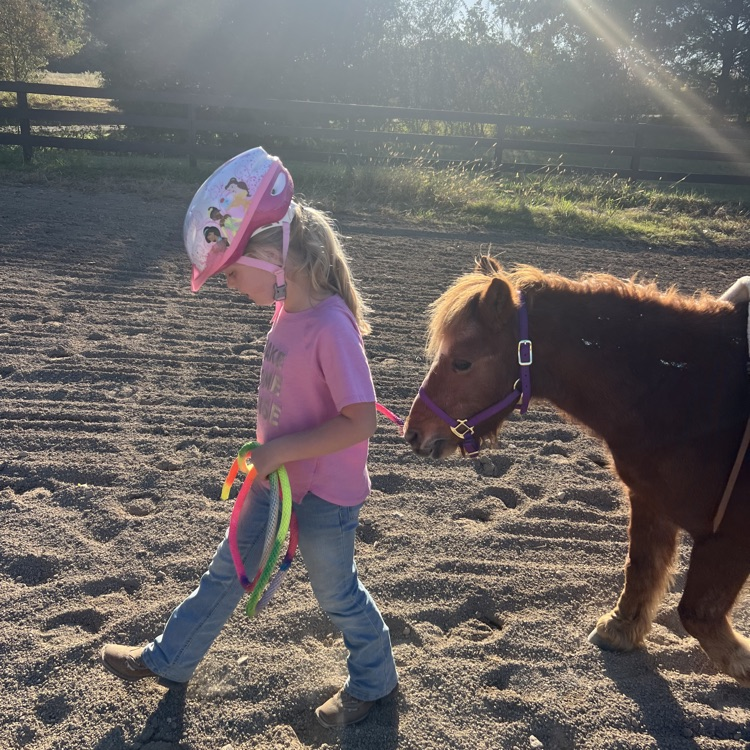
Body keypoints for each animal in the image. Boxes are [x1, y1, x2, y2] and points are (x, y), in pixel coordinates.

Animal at [404, 255, 750, 686]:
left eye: (462, 362)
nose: (413, 433)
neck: (687, 390)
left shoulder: (729, 537)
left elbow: (697, 612)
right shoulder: (651, 502)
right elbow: (642, 568)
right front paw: (619, 629)